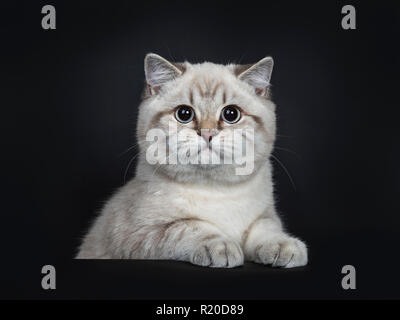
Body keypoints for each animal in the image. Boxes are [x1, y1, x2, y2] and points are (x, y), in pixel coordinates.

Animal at [76, 53, 310, 268]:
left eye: (231, 114)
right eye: (184, 114)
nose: (207, 133)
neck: (216, 191)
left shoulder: (265, 215)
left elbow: (266, 229)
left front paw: (283, 245)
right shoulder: (140, 233)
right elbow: (189, 227)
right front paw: (221, 246)